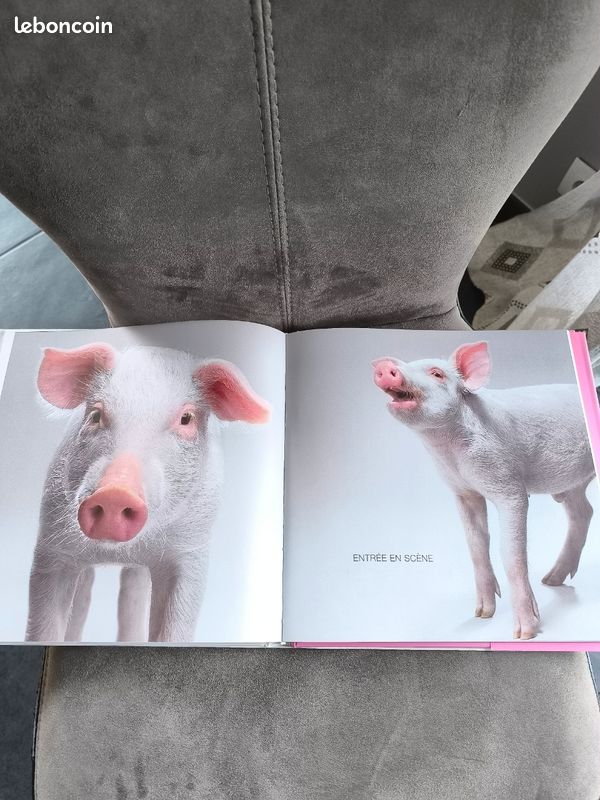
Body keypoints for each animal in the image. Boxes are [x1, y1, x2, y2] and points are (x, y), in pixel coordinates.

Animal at [25, 343, 270, 643]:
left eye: (186, 419)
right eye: (95, 414)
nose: (115, 492)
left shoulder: (191, 550)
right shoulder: (52, 541)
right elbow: (44, 625)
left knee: (134, 588)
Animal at [373, 341, 595, 639]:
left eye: (436, 374)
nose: (386, 367)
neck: (449, 451)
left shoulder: (510, 488)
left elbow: (511, 554)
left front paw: (525, 634)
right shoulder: (463, 492)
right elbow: (476, 547)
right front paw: (481, 614)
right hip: (571, 485)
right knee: (583, 512)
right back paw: (551, 581)